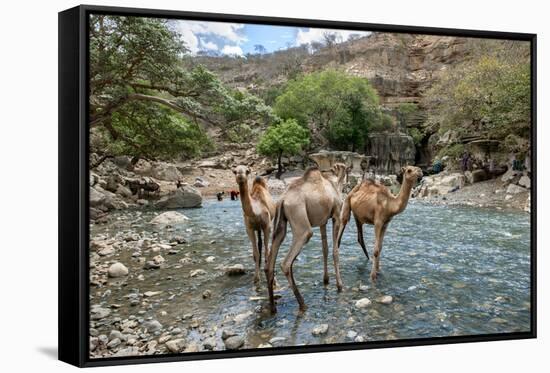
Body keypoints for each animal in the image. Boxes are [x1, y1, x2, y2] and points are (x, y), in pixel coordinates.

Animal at [266, 163, 350, 310]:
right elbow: (335, 251)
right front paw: (340, 286)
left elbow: (325, 249)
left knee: (271, 263)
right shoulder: (336, 216)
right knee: (286, 263)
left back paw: (273, 306)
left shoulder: (323, 221)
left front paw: (326, 280)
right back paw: (302, 303)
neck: (335, 184)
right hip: (302, 224)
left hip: (281, 224)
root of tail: (282, 200)